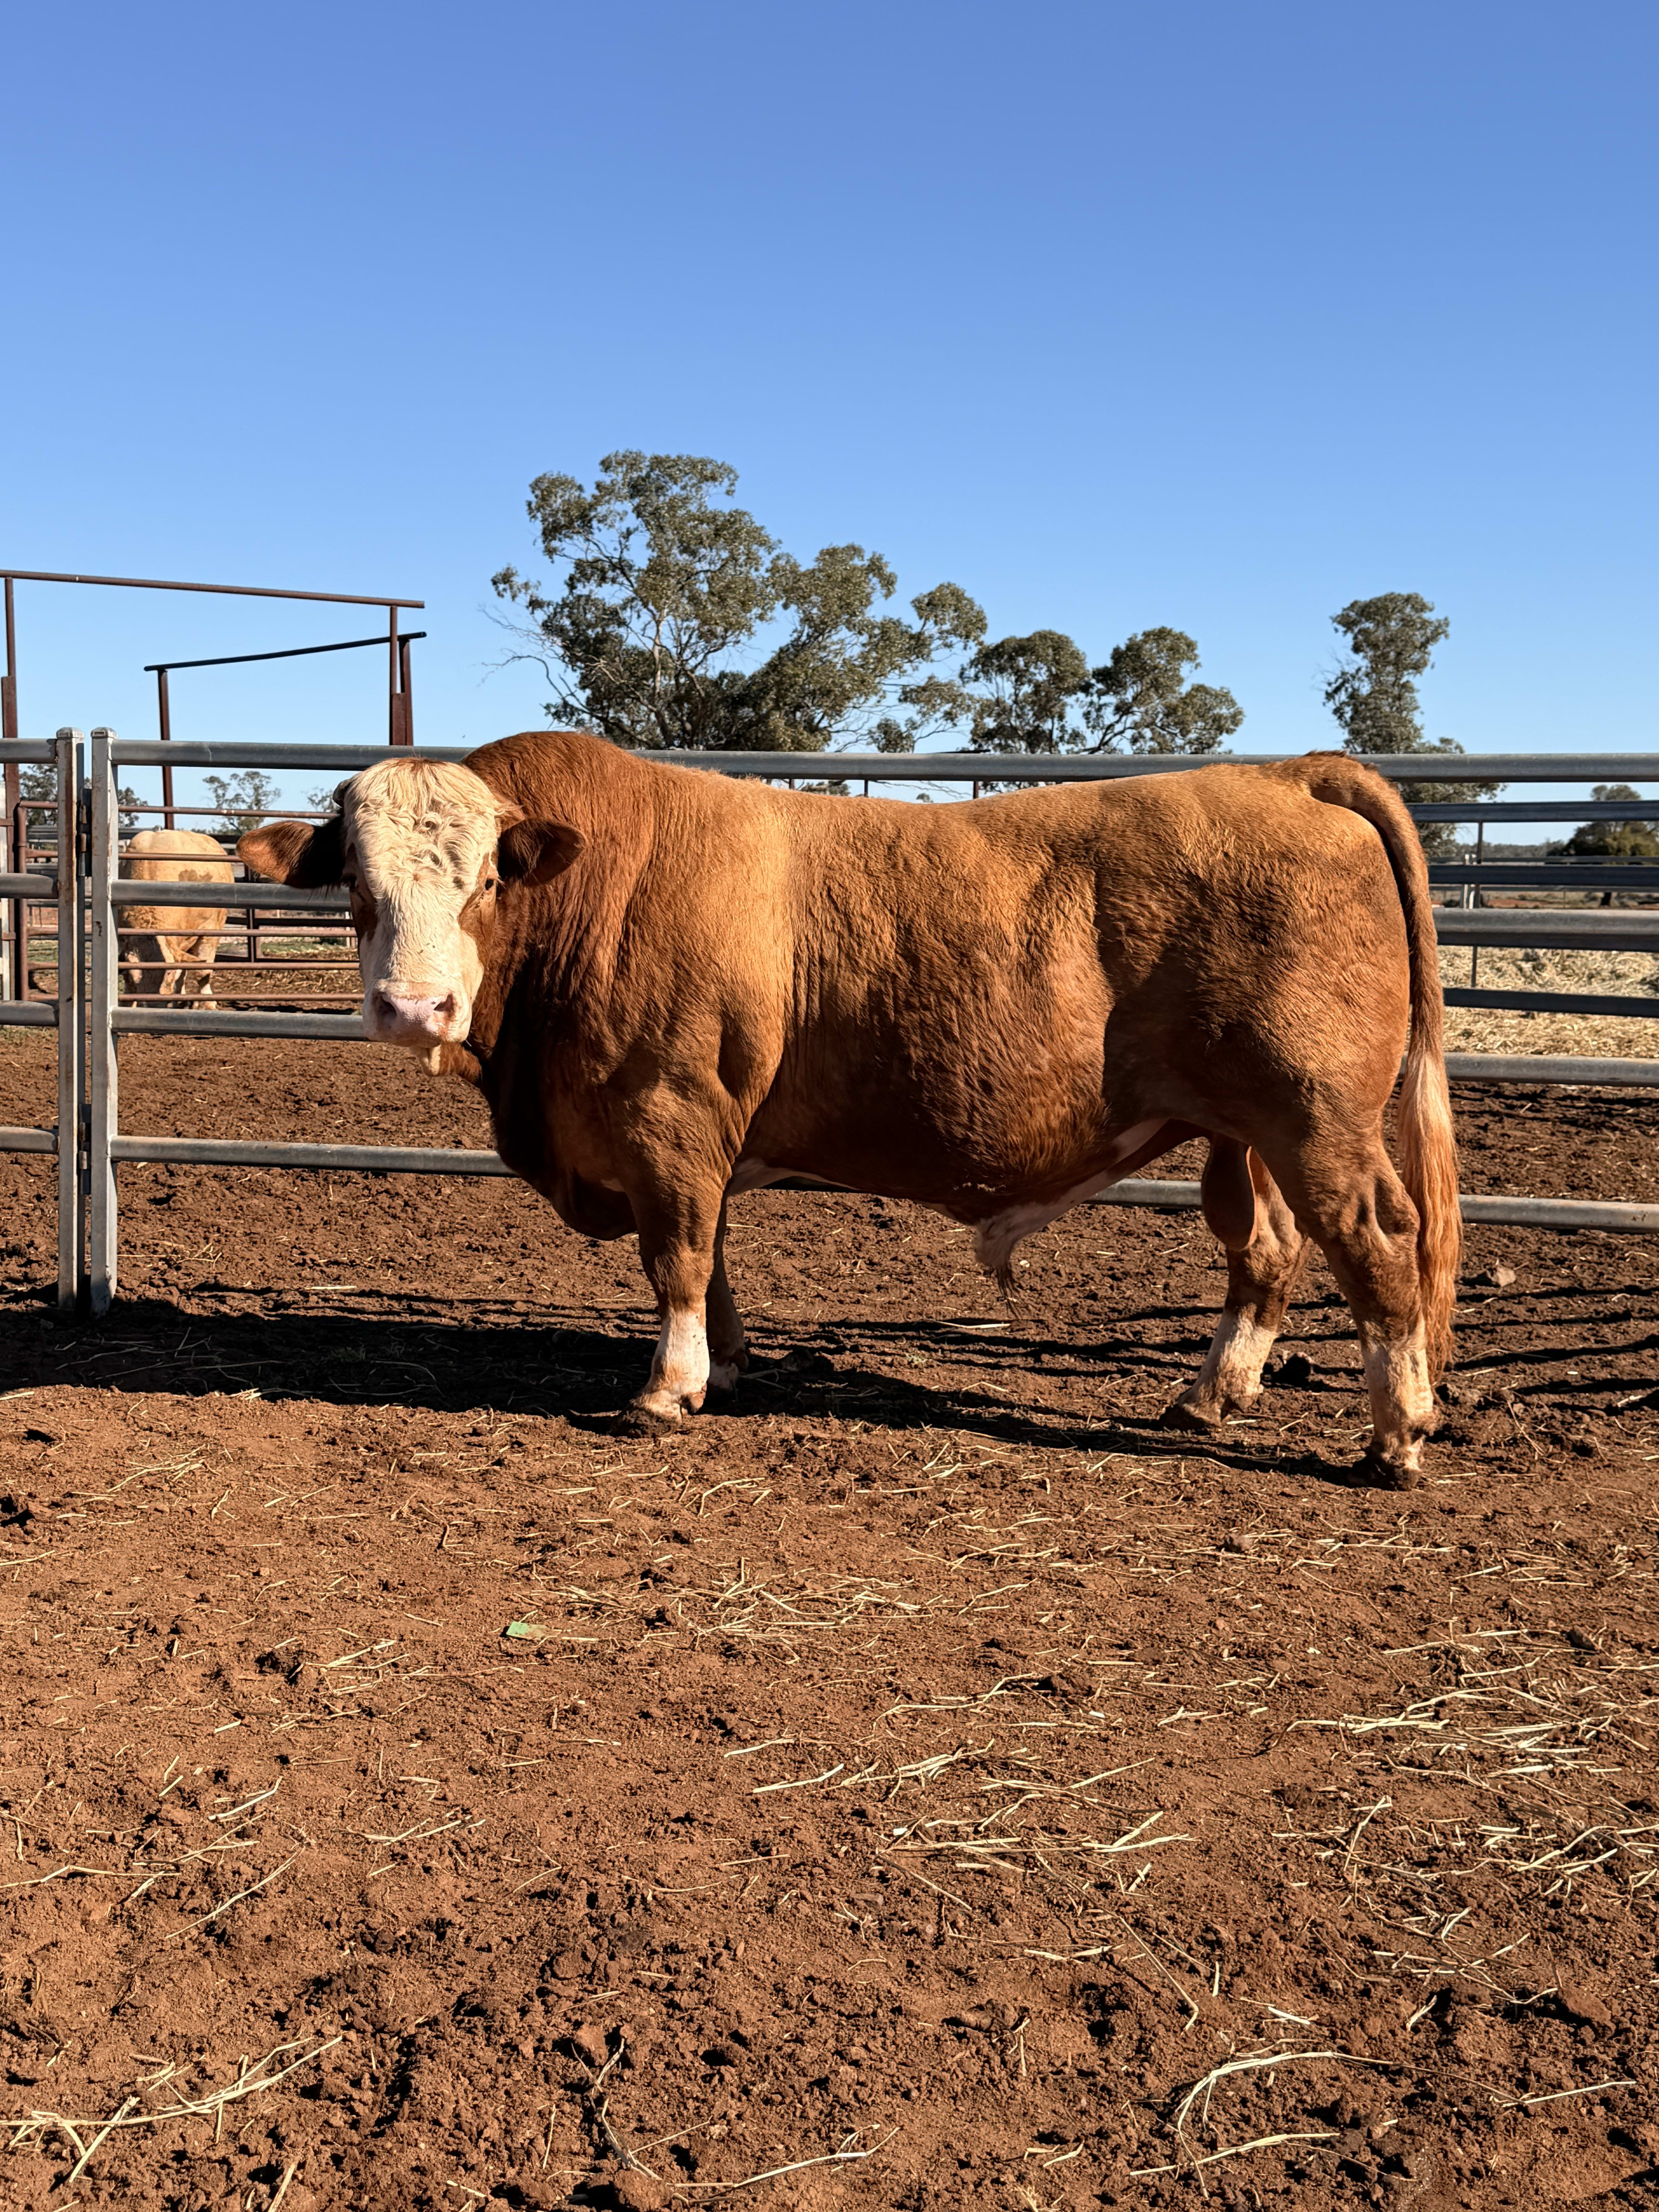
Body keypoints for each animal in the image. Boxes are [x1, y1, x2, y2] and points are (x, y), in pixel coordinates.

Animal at [240, 733, 1460, 1486]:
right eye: (355, 888)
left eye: (485, 881)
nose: (414, 1007)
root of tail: (1293, 773)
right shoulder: (689, 1137)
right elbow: (710, 1258)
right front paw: (727, 1367)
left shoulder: (667, 1116)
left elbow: (676, 1256)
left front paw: (667, 1389)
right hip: (1240, 1134)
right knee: (1266, 1251)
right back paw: (1212, 1396)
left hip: (1317, 1120)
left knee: (1379, 1244)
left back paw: (1398, 1436)